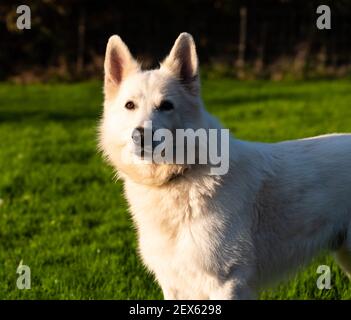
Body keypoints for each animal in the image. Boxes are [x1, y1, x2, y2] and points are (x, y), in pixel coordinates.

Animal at [98, 33, 351, 300]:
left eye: (166, 105)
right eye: (130, 106)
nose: (141, 136)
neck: (183, 174)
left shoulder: (227, 283)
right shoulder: (173, 284)